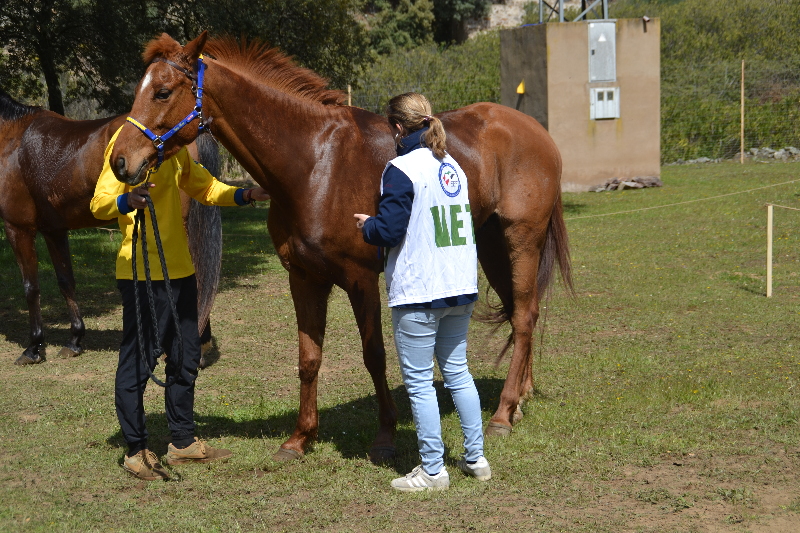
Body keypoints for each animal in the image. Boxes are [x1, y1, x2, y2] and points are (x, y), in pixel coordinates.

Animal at [0, 92, 223, 366]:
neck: (13, 138)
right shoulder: (55, 230)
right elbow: (66, 282)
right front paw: (74, 341)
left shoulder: (18, 228)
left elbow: (31, 288)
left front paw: (33, 348)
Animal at [109, 32, 572, 458]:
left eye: (163, 91)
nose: (120, 162)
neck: (314, 162)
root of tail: (535, 130)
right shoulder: (304, 278)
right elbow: (309, 358)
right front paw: (300, 438)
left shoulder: (360, 280)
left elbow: (374, 355)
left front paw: (384, 435)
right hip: (492, 245)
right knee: (518, 310)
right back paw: (520, 399)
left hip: (521, 241)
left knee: (525, 316)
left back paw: (503, 414)